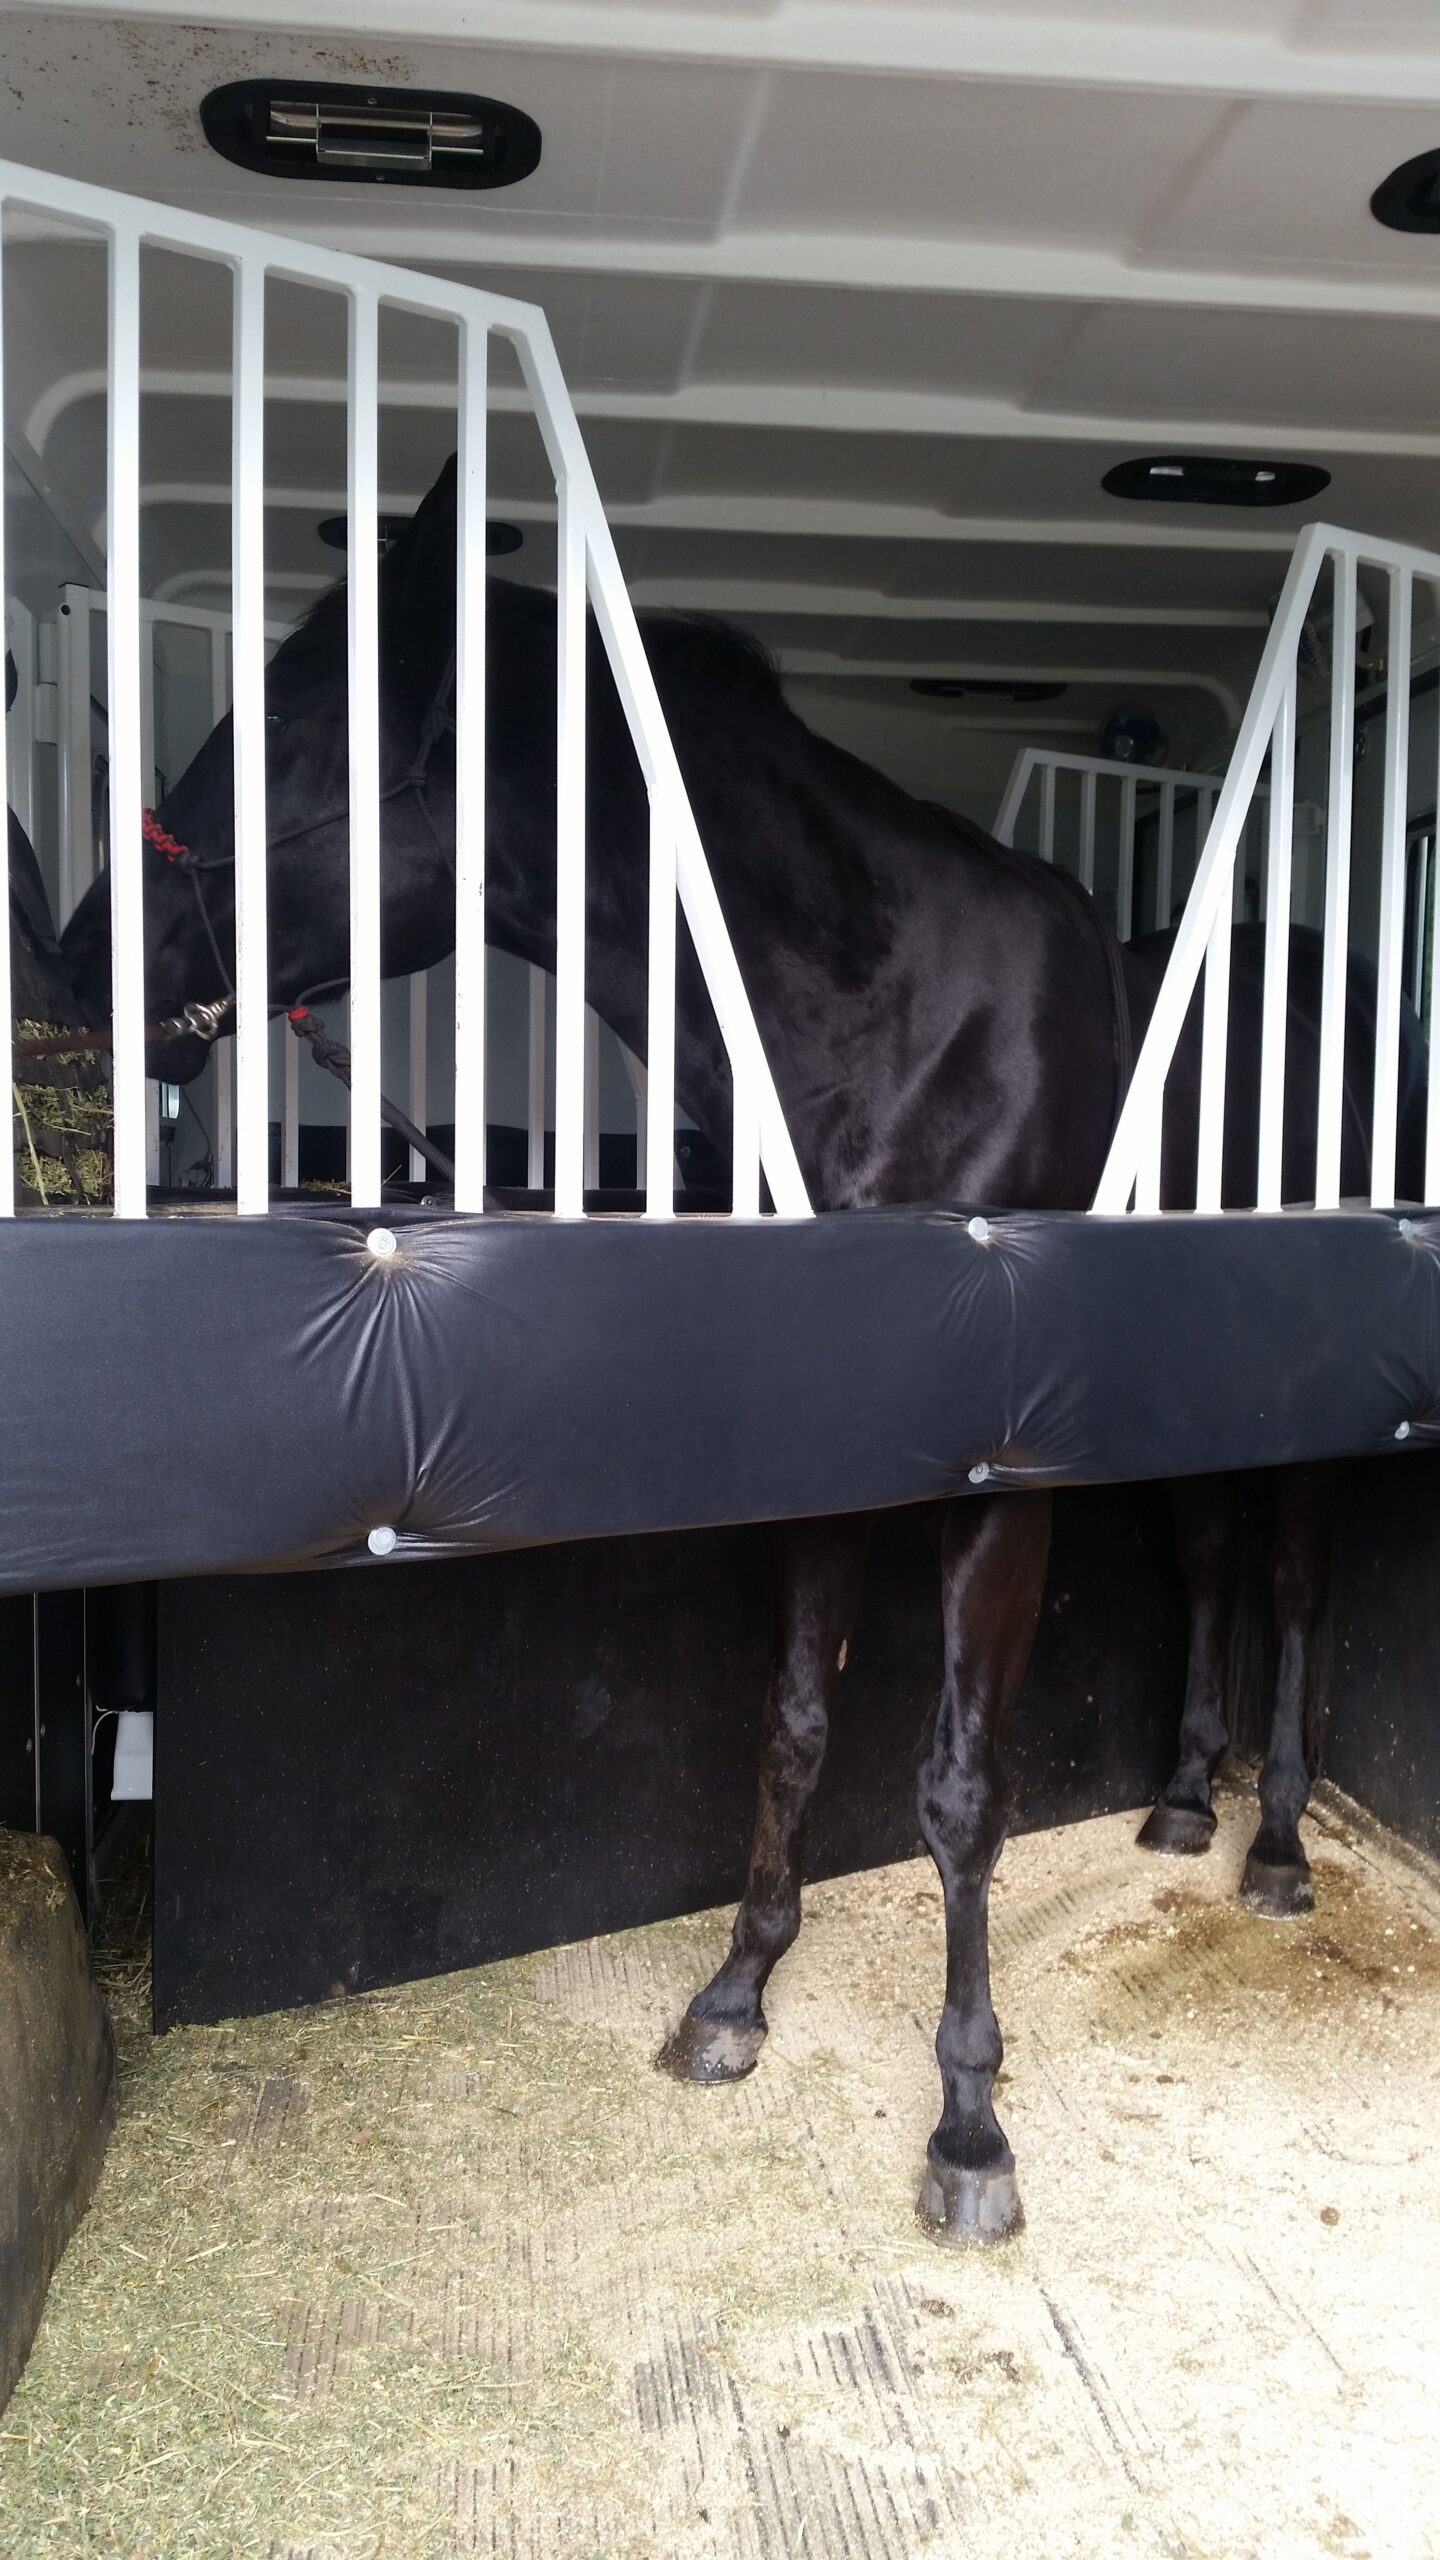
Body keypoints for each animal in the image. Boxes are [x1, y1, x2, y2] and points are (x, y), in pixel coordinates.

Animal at [61, 455, 1414, 2242]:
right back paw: (1184, 1804)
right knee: (1204, 1564)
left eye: (289, 720)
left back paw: (1274, 1849)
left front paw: (969, 2126)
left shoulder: (994, 1481)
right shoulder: (821, 1457)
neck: (889, 1029)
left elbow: (959, 1788)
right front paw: (735, 1996)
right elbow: (791, 1726)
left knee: (1300, 1588)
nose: (78, 955)